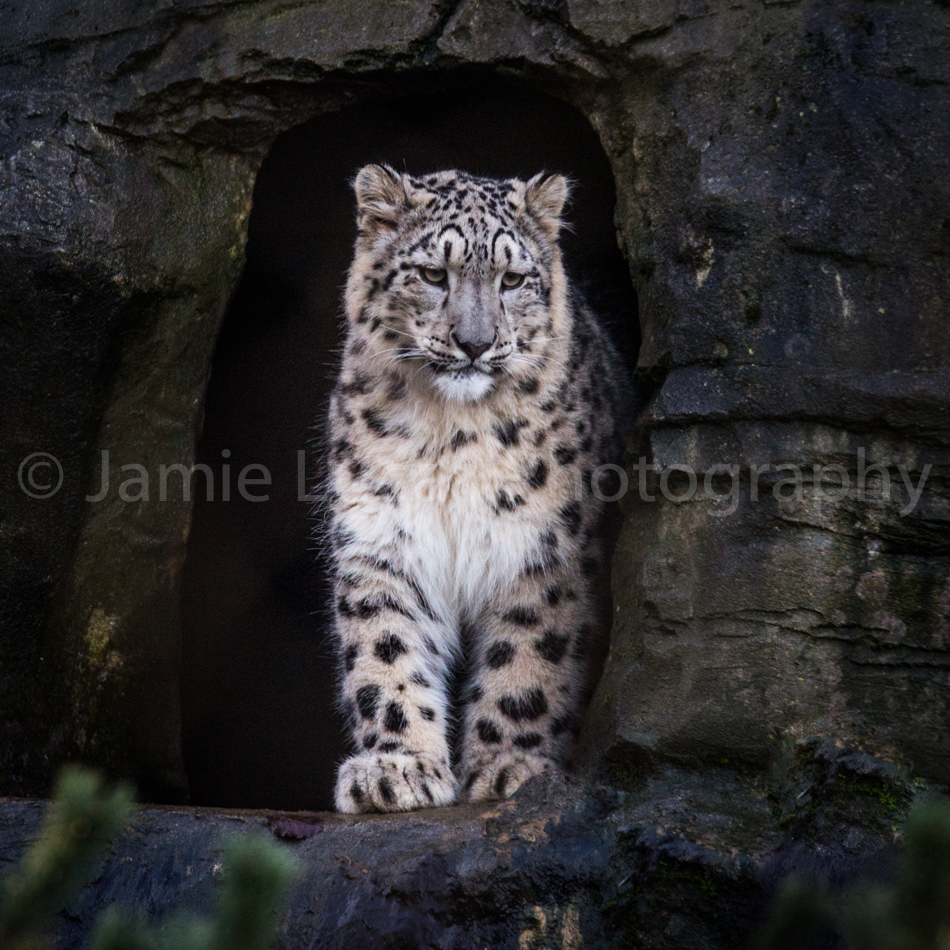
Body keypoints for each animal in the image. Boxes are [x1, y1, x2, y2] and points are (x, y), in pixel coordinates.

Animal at [324, 164, 630, 813]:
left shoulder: (545, 548)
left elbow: (530, 652)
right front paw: (396, 767)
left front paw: (509, 764)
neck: (451, 435)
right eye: (433, 274)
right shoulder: (383, 536)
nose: (474, 342)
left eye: (513, 279)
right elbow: (387, 648)